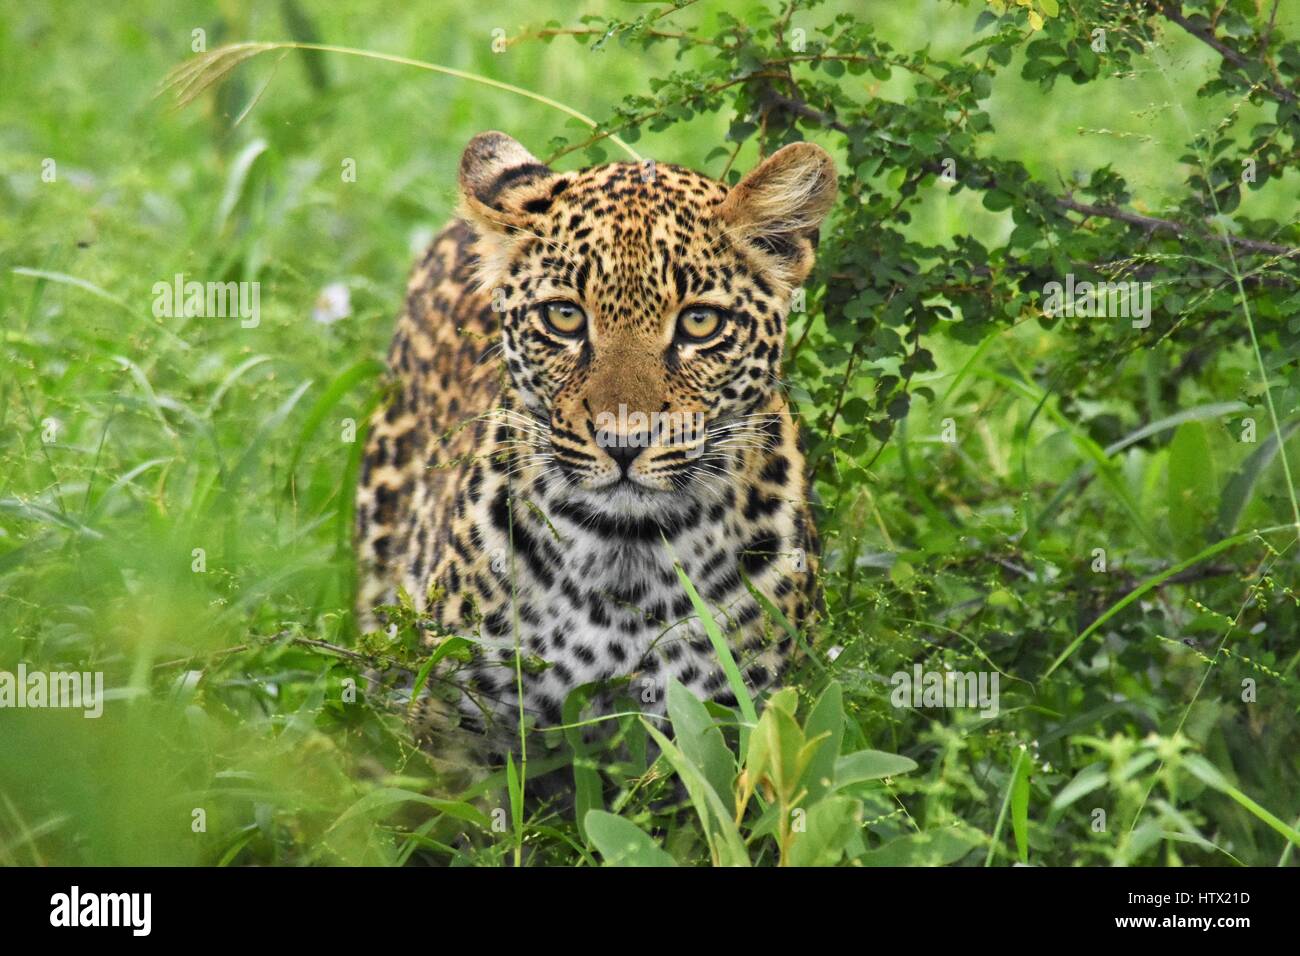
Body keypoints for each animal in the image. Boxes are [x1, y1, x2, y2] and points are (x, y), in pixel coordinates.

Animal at [356, 130, 837, 775]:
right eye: (564, 316)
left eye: (700, 322)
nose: (623, 440)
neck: (625, 559)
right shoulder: (454, 735)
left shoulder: (731, 728)